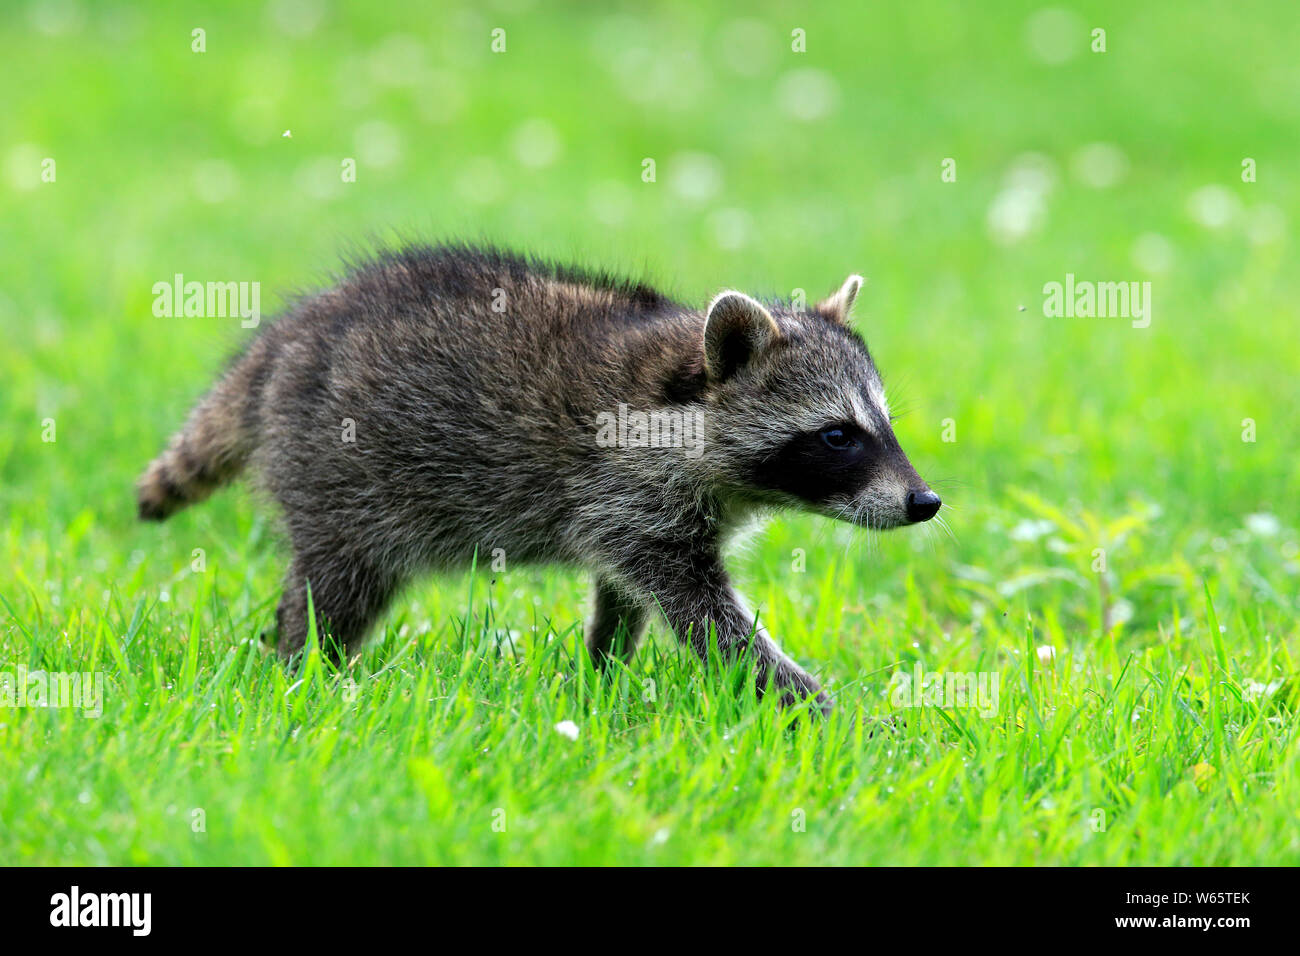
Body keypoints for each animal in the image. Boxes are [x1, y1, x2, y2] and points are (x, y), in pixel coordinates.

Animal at [137, 243, 941, 712]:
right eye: (837, 436)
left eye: (884, 427)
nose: (925, 502)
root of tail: (283, 341)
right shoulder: (629, 494)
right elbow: (707, 617)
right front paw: (811, 702)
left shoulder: (638, 514)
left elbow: (624, 598)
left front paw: (604, 674)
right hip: (339, 478)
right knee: (335, 588)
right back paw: (302, 668)